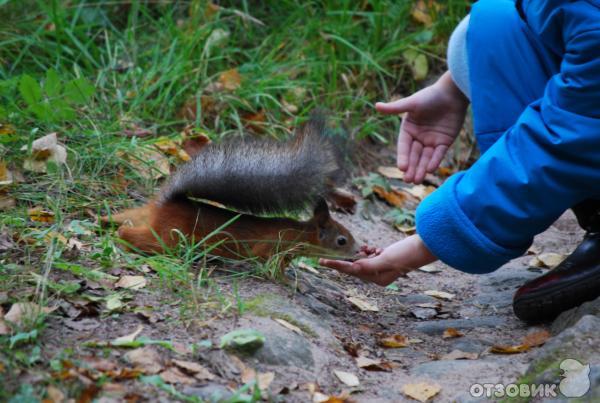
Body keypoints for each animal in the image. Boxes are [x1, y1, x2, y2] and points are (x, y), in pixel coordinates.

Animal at [102, 113, 360, 266]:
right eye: (342, 241)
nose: (359, 252)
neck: (299, 234)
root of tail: (166, 204)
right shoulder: (271, 246)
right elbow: (267, 263)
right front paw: (285, 281)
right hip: (170, 236)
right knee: (136, 236)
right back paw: (123, 236)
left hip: (144, 217)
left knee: (122, 217)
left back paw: (105, 220)